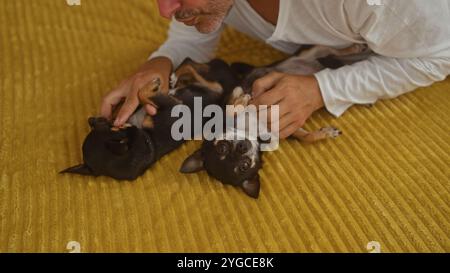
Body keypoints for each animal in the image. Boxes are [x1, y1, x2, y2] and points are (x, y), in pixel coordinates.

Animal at [62, 58, 239, 180]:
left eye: (107, 124)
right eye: (113, 127)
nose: (93, 119)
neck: (146, 139)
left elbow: (138, 94)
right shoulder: (173, 105)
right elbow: (141, 93)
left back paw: (174, 76)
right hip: (212, 88)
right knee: (193, 66)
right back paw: (175, 75)